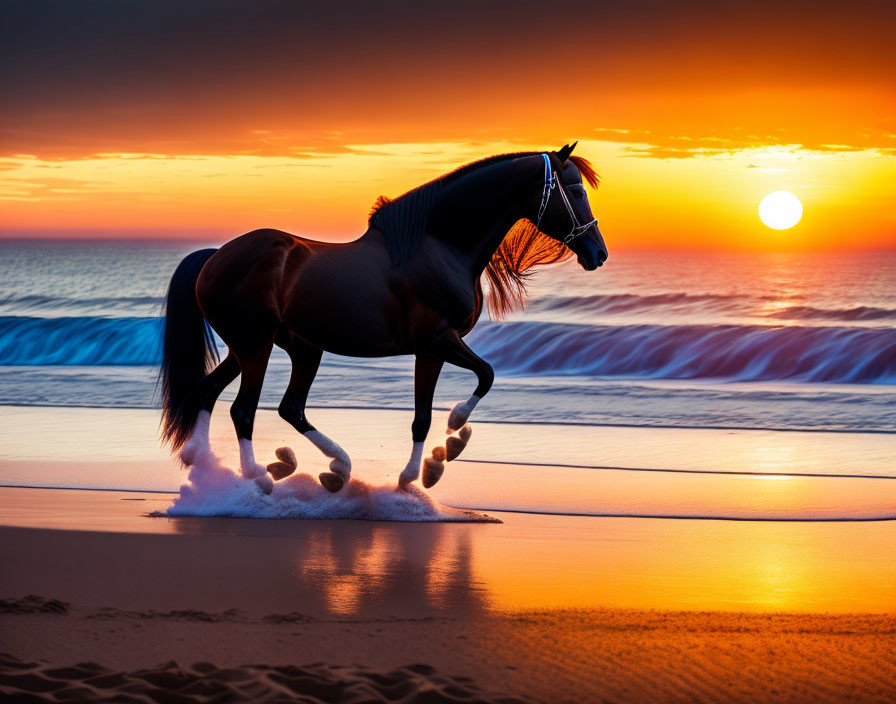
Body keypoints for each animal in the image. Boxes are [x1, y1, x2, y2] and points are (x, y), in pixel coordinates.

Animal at [159, 142, 608, 496]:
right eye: (573, 190)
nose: (598, 253)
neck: (437, 248)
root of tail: (214, 258)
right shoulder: (435, 344)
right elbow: (460, 393)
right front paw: (433, 459)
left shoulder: (437, 347)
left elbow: (460, 392)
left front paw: (441, 451)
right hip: (257, 346)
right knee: (244, 410)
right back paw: (260, 475)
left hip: (285, 347)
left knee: (247, 399)